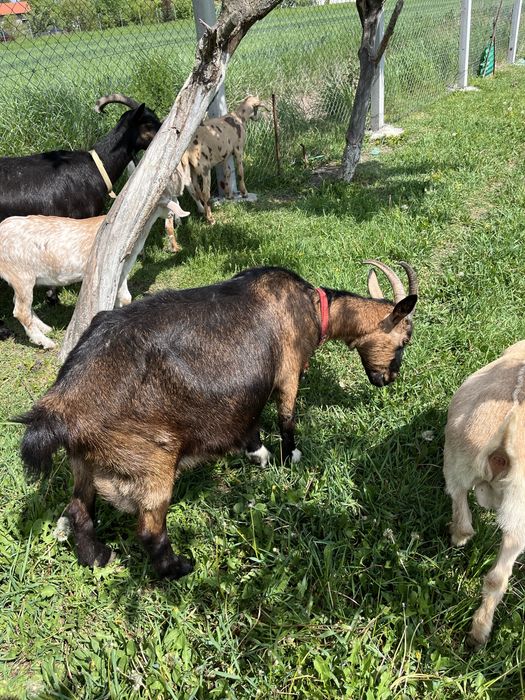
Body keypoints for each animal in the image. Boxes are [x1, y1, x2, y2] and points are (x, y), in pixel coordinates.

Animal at [0, 215, 132, 349]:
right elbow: (126, 298)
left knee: (18, 302)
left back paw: (46, 328)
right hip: (22, 275)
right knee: (21, 311)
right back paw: (46, 342)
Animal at [16, 262, 417, 579]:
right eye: (405, 339)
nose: (388, 378)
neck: (311, 305)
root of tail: (61, 408)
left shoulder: (248, 393)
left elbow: (251, 422)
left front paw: (258, 455)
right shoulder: (288, 371)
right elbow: (286, 418)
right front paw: (290, 458)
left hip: (85, 462)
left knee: (79, 510)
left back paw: (98, 557)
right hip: (149, 460)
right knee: (149, 529)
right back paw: (178, 568)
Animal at [183, 95, 264, 224]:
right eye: (257, 108)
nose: (258, 118)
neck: (238, 117)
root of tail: (187, 149)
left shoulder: (226, 154)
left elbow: (227, 172)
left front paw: (228, 195)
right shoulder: (238, 149)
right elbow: (240, 172)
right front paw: (244, 193)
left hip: (190, 169)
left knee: (193, 189)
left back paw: (202, 210)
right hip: (204, 168)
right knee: (205, 192)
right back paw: (210, 219)